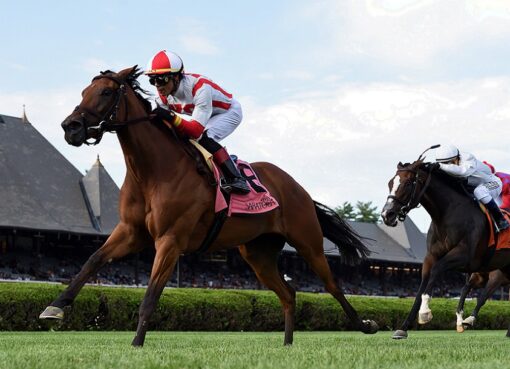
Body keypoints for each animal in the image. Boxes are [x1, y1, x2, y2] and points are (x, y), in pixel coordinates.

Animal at [38, 66, 378, 344]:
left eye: (106, 92)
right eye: (84, 92)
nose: (70, 127)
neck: (154, 171)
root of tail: (297, 187)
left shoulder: (170, 240)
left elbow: (151, 295)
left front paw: (136, 344)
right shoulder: (131, 232)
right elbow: (92, 261)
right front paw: (54, 308)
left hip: (307, 242)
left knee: (332, 285)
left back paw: (365, 325)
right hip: (258, 255)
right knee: (289, 293)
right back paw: (287, 343)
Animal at [380, 148, 510, 338]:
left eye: (408, 183)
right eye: (390, 183)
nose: (386, 215)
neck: (448, 214)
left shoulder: (464, 256)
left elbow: (437, 270)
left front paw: (425, 313)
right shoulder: (430, 256)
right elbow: (421, 288)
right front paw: (403, 328)